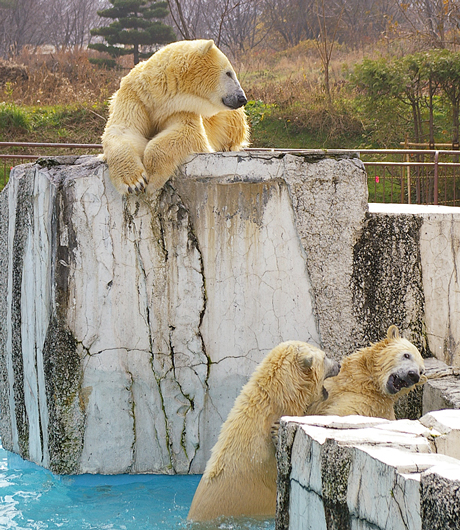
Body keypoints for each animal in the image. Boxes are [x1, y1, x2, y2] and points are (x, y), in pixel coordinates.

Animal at [102, 38, 250, 194]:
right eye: (229, 73)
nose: (242, 98)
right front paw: (134, 182)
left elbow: (186, 131)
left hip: (231, 121)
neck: (157, 94)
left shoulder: (179, 108)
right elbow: (122, 130)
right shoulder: (135, 96)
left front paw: (153, 179)